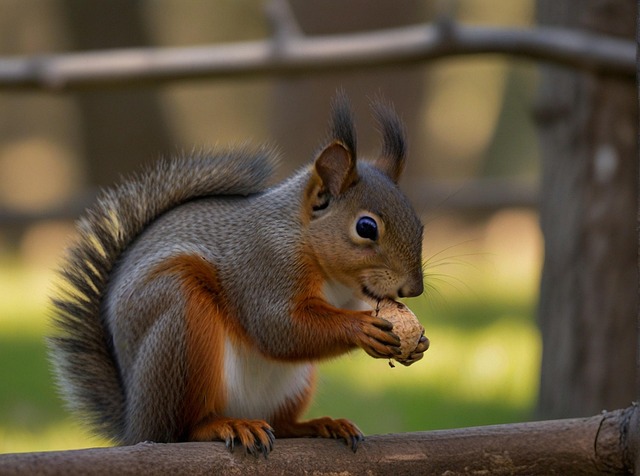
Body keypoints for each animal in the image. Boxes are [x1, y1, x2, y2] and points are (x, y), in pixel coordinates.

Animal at [49, 93, 427, 456]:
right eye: (366, 227)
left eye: (419, 223)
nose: (415, 289)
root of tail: (136, 425)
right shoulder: (264, 264)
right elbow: (278, 328)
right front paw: (361, 328)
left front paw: (418, 341)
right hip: (179, 328)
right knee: (182, 432)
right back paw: (225, 426)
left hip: (292, 385)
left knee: (282, 425)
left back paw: (318, 425)